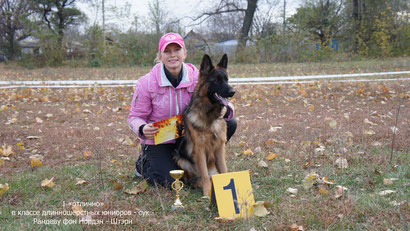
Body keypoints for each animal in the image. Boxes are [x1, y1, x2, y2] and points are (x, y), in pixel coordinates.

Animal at [175, 53, 235, 195]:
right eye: (217, 80)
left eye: (227, 80)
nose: (232, 92)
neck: (210, 117)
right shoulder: (200, 150)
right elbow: (204, 173)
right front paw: (207, 192)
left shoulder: (219, 148)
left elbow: (223, 170)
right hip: (181, 159)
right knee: (194, 178)